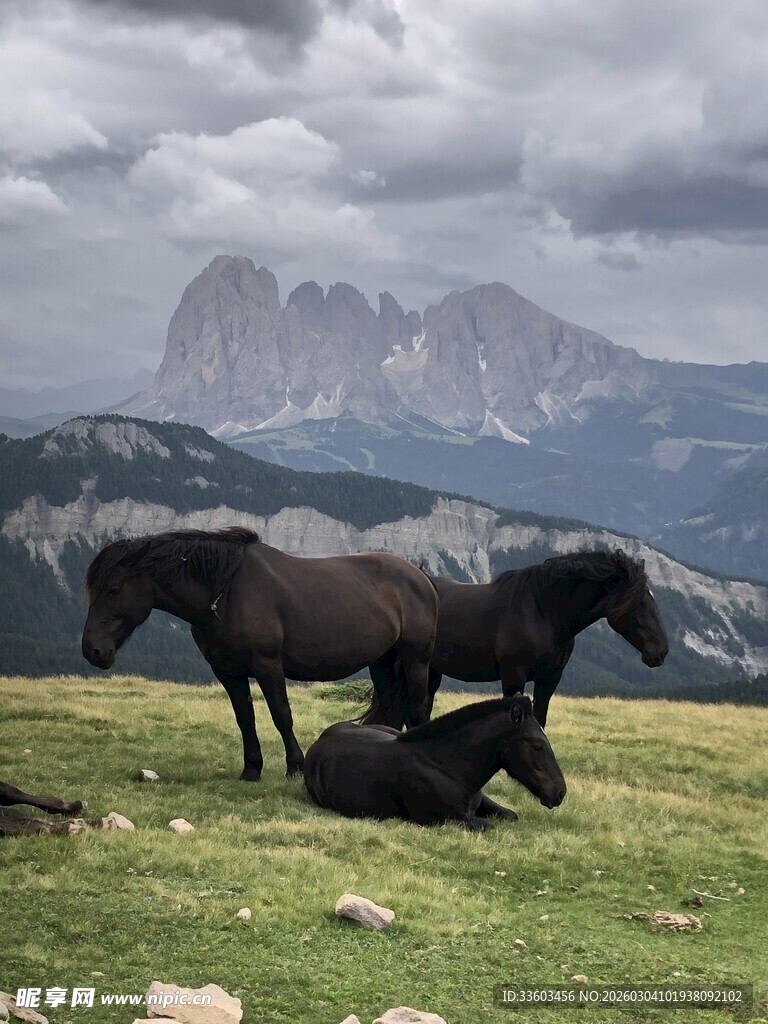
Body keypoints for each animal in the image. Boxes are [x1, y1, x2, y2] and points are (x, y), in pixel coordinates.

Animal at [81, 528, 438, 780]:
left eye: (114, 590)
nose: (92, 650)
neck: (225, 593)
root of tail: (421, 577)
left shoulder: (267, 665)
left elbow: (281, 714)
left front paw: (295, 766)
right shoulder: (228, 672)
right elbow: (245, 718)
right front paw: (251, 769)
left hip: (415, 658)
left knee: (418, 708)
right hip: (382, 661)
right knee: (392, 708)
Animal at [362, 549, 668, 729]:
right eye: (641, 602)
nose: (661, 652)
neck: (543, 610)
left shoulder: (550, 679)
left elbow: (541, 720)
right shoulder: (513, 676)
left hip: (431, 671)